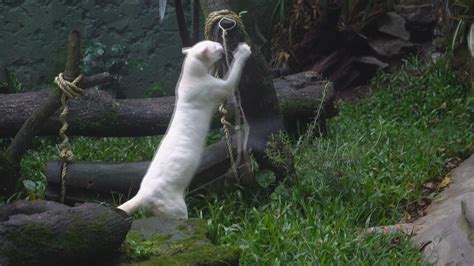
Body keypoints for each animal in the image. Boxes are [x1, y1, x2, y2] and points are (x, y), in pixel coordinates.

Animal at [117, 40, 252, 218]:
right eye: (215, 45)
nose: (221, 45)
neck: (190, 76)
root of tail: (143, 195)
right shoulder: (217, 88)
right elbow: (232, 78)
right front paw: (243, 50)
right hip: (176, 207)